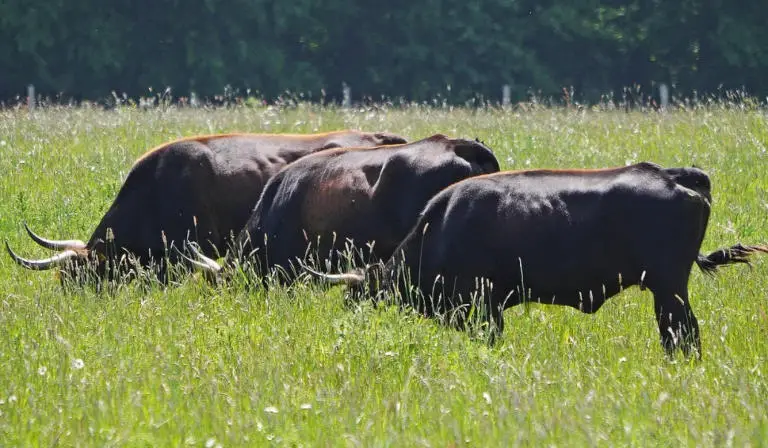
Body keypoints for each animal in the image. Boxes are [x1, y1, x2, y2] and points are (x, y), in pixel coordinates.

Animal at [302, 162, 767, 358]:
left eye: (357, 296)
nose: (348, 330)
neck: (440, 228)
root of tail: (673, 175)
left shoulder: (484, 307)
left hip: (668, 287)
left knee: (682, 333)